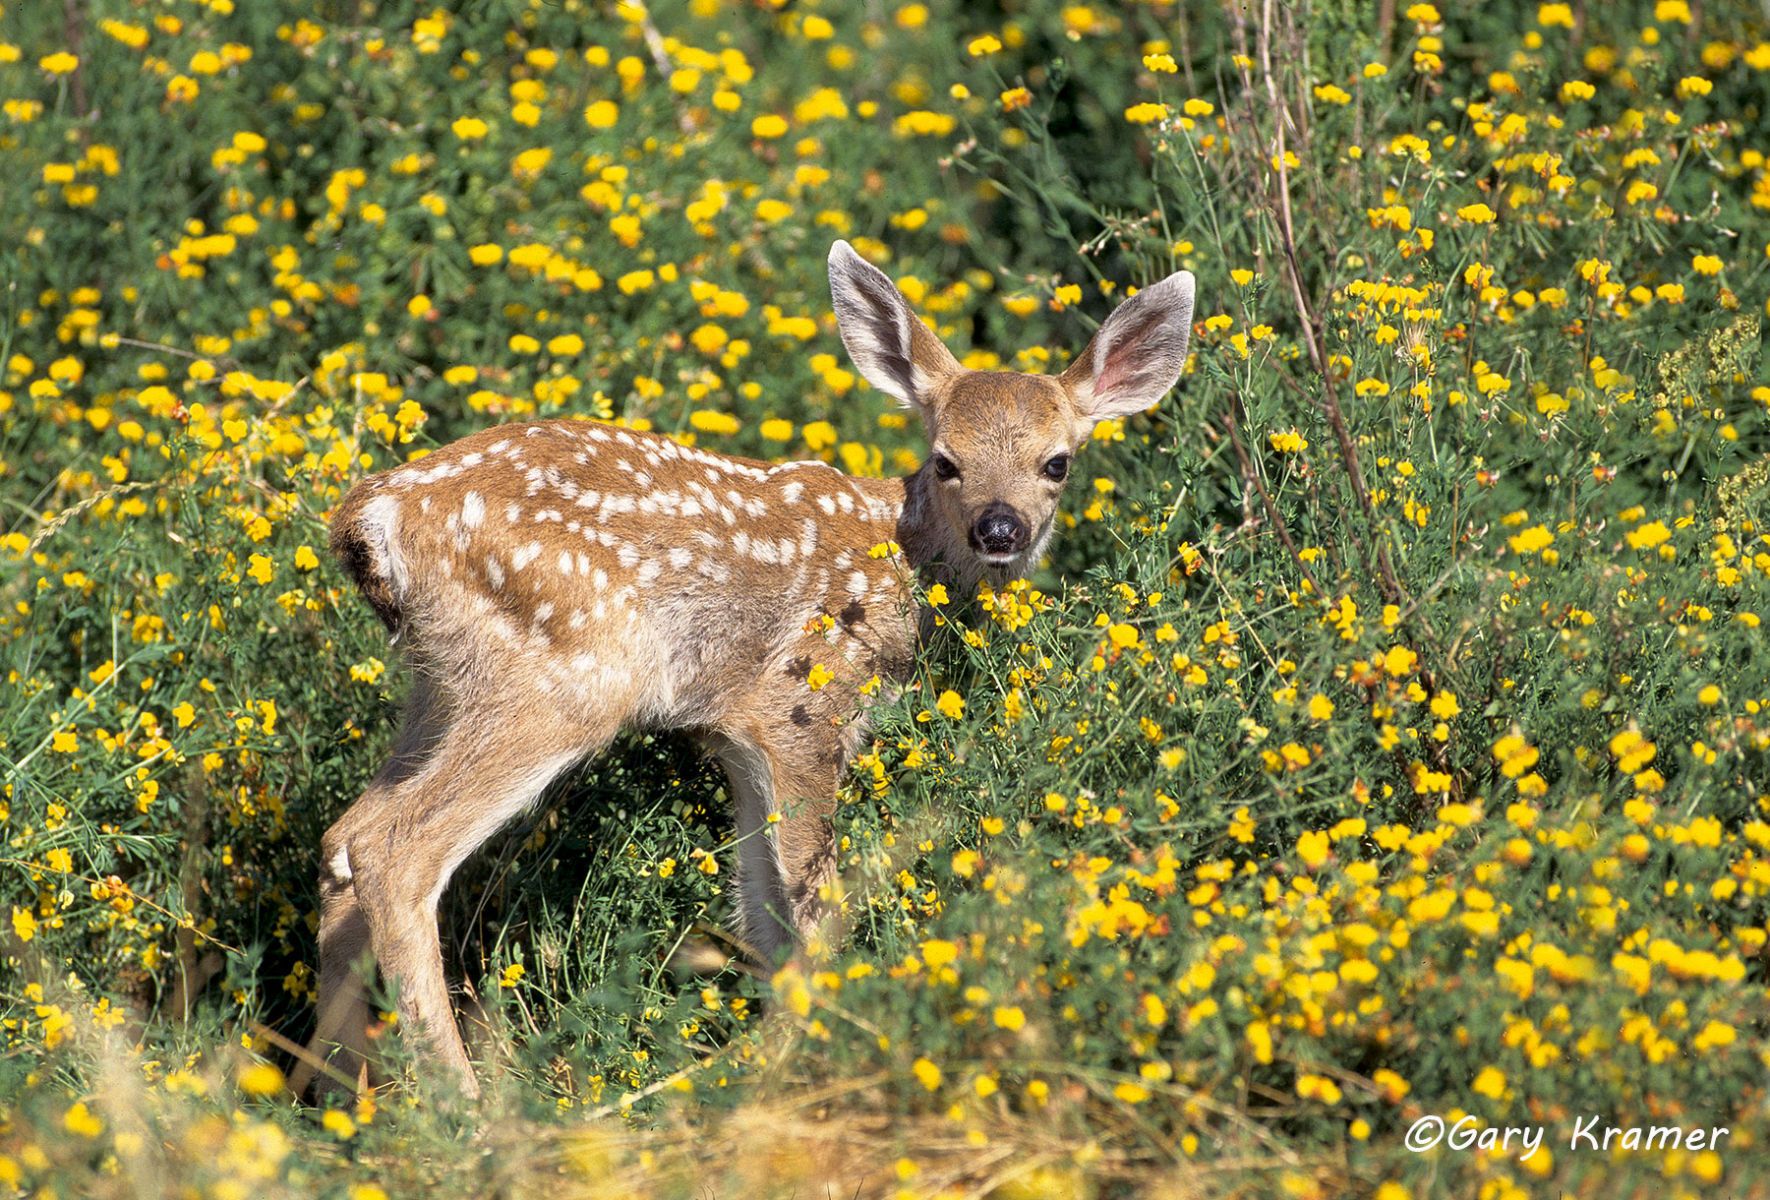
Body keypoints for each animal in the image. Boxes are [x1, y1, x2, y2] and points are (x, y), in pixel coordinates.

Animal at [292, 240, 1194, 1098]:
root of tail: (371, 516)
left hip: (442, 683)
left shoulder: (736, 732)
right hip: (563, 679)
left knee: (342, 840)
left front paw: (765, 1058)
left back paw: (342, 1097)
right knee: (393, 849)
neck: (899, 560)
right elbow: (818, 907)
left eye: (1057, 462)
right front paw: (793, 1067)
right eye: (946, 460)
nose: (1001, 529)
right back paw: (465, 1110)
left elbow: (764, 908)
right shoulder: (801, 699)